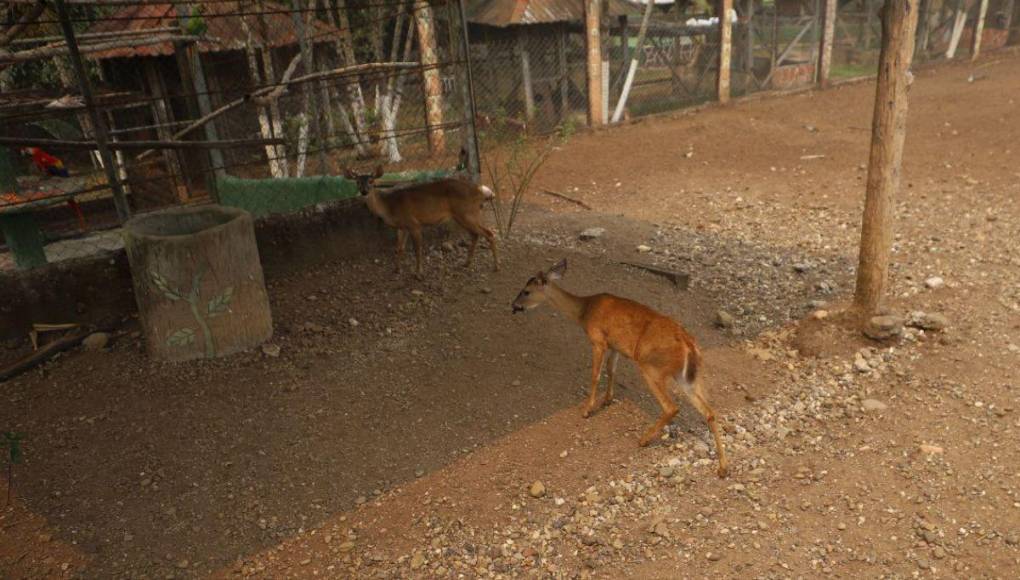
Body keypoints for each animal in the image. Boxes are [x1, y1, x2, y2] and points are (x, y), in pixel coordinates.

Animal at [344, 166, 499, 277]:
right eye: (357, 182)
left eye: (371, 181)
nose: (364, 191)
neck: (389, 207)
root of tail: (479, 190)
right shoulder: (402, 227)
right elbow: (399, 248)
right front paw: (396, 269)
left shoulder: (414, 223)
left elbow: (417, 249)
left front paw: (418, 273)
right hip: (464, 215)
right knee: (476, 234)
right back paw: (466, 264)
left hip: (467, 213)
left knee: (489, 233)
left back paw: (496, 266)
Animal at [514, 259, 730, 477]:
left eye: (526, 291)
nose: (513, 305)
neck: (584, 311)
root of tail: (689, 346)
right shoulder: (615, 345)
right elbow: (611, 369)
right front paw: (607, 399)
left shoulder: (598, 340)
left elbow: (595, 374)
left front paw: (587, 410)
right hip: (686, 377)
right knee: (709, 411)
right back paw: (723, 467)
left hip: (651, 367)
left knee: (672, 407)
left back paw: (643, 439)